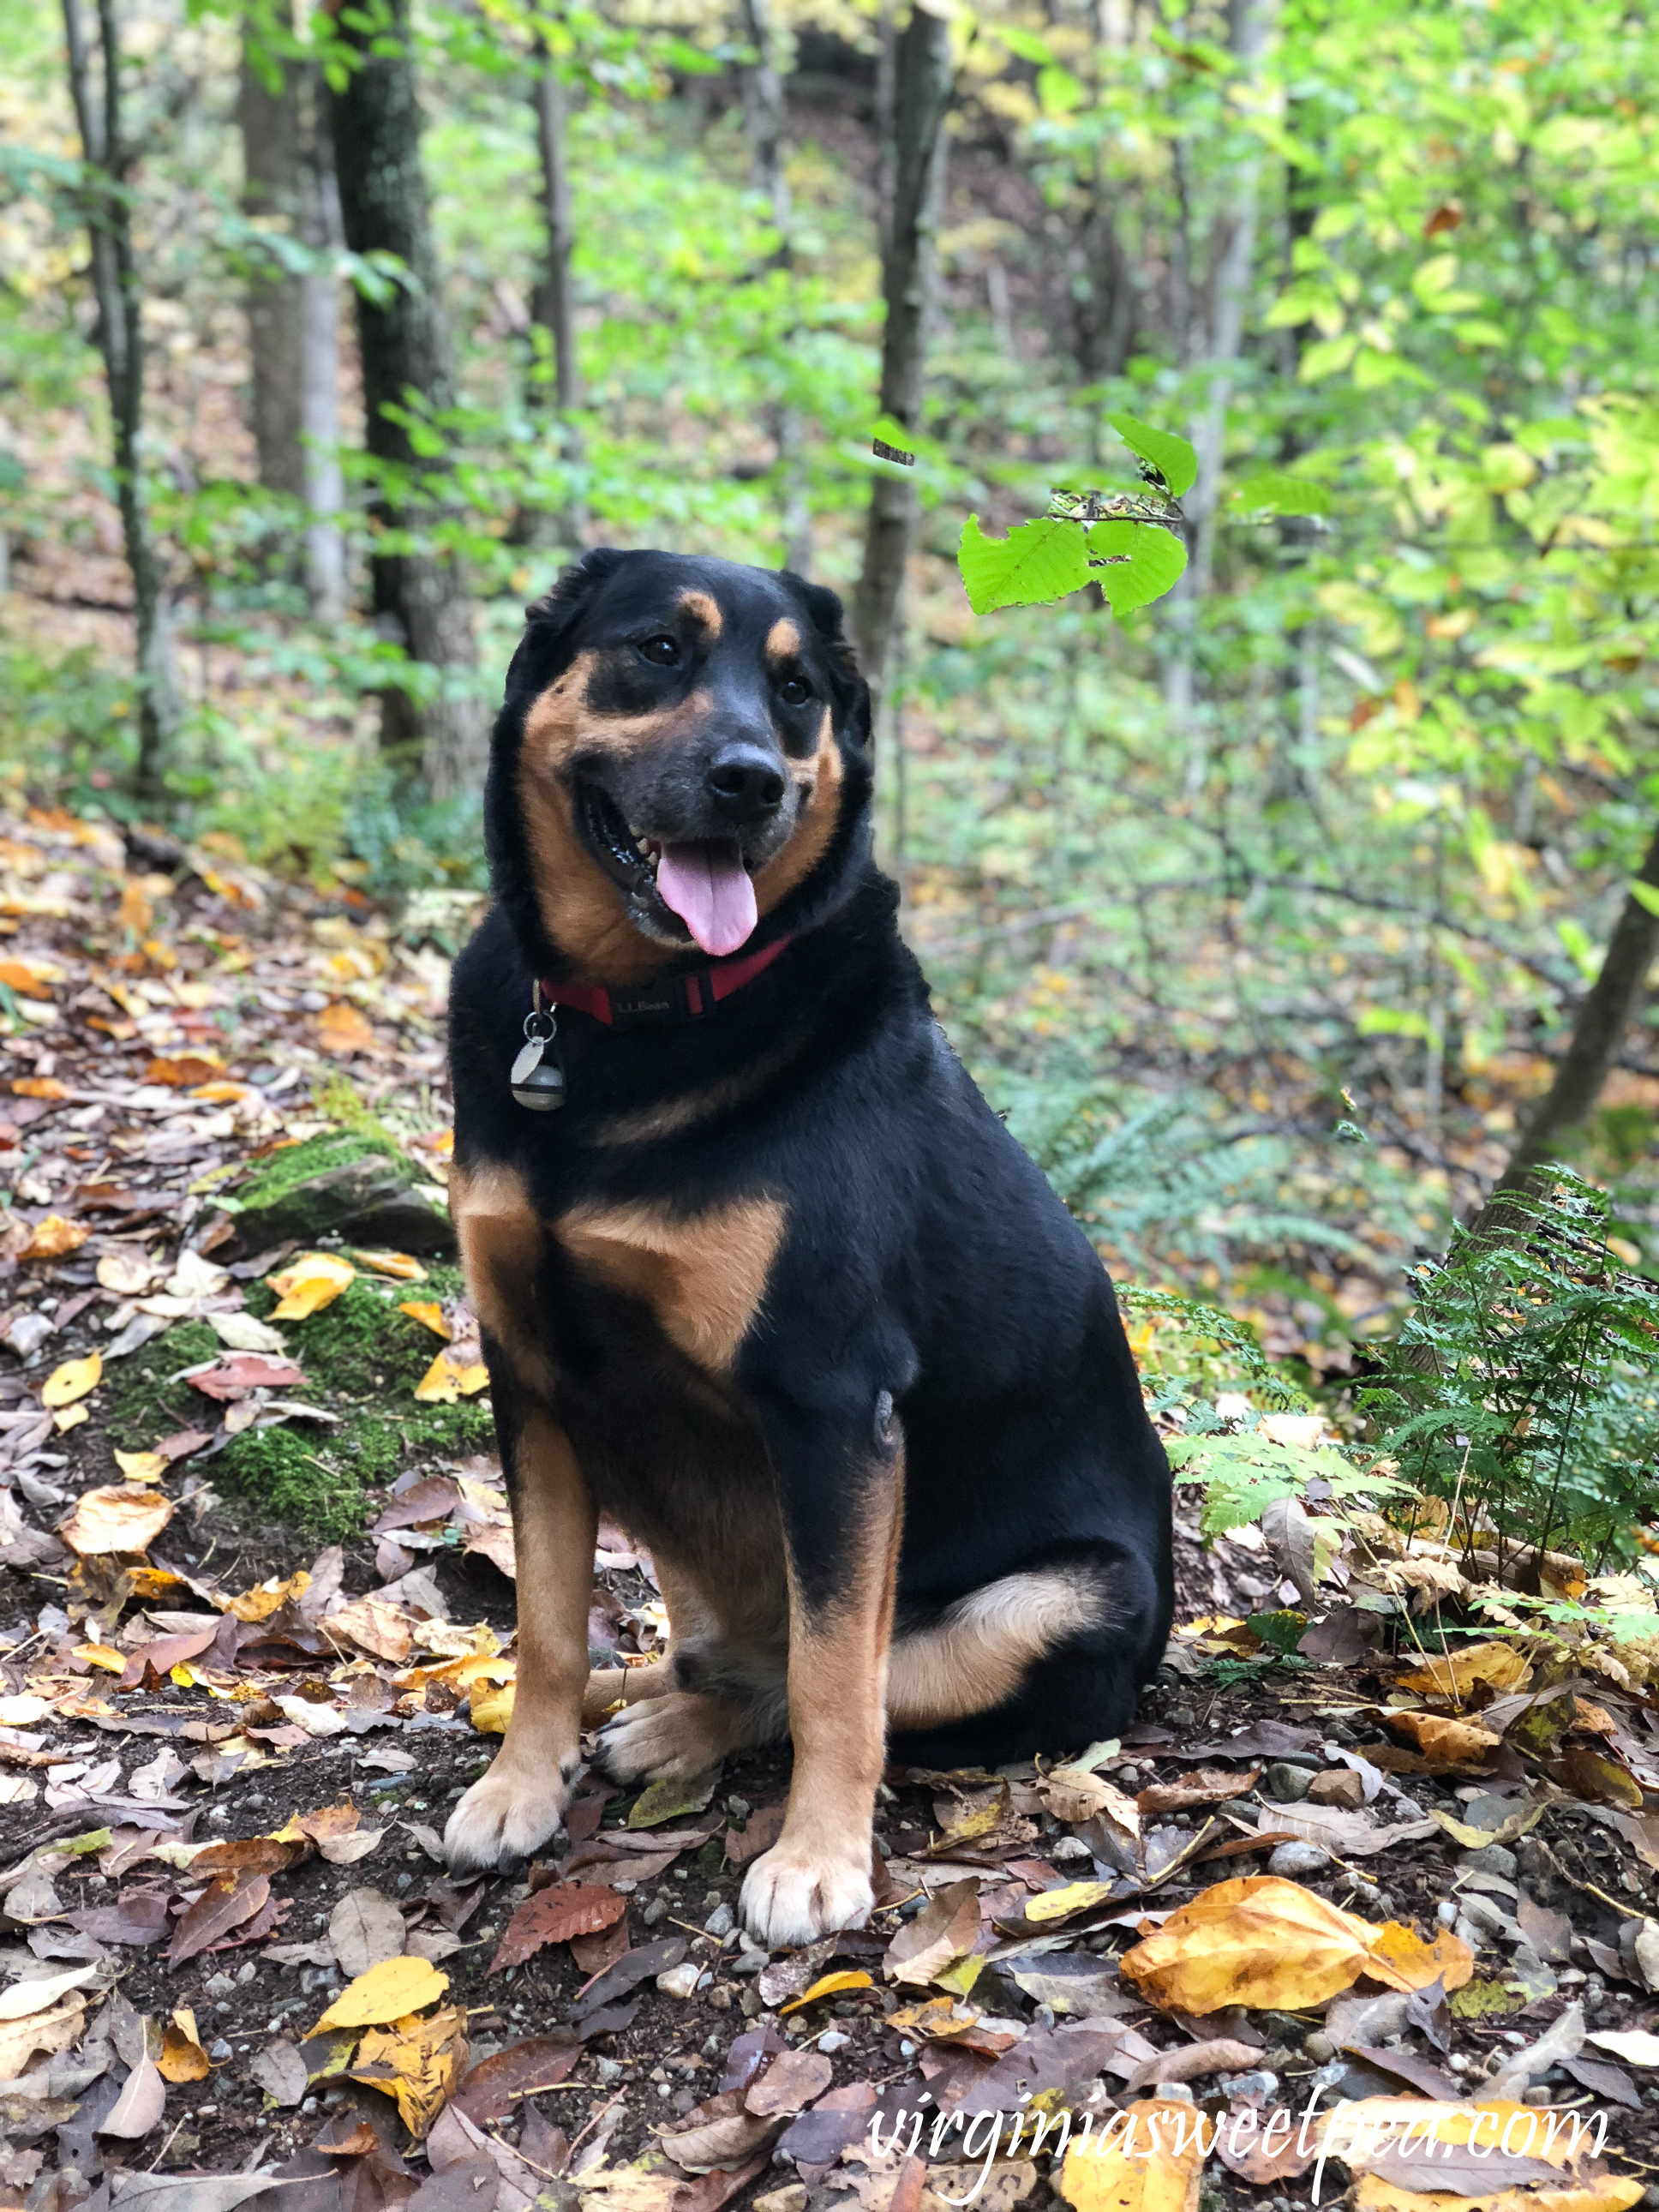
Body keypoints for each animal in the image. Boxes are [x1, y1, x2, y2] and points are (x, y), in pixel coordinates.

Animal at [435, 543, 1177, 1946]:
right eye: (659, 650)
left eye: (796, 692)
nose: (753, 781)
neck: (626, 1023)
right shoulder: (531, 1375)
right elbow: (546, 1621)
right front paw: (517, 1781)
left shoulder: (834, 1407)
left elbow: (837, 1673)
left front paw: (820, 1859)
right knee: (723, 1655)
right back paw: (653, 1705)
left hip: (1053, 1604)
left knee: (832, 1678)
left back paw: (688, 1731)